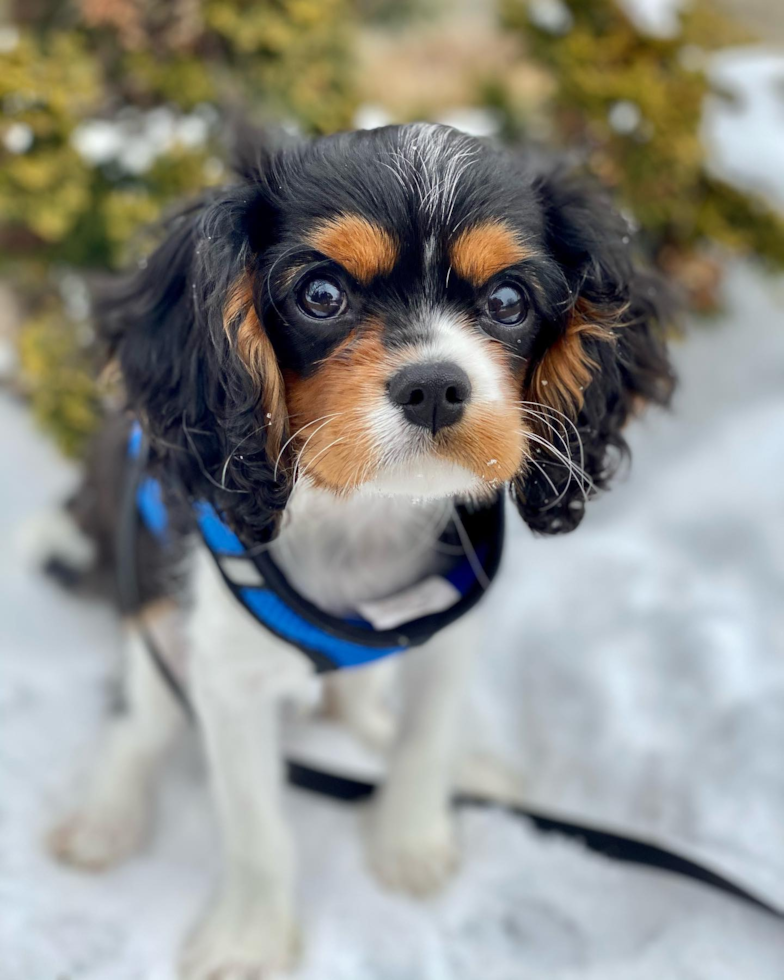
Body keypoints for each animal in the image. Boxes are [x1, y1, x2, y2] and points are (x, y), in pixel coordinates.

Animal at [43, 124, 672, 980]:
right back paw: (104, 817)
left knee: (362, 700)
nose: (435, 385)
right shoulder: (228, 675)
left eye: (509, 302)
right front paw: (249, 938)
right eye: (321, 295)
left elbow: (424, 738)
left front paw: (410, 844)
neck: (361, 511)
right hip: (154, 607)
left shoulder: (449, 633)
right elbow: (255, 826)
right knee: (137, 718)